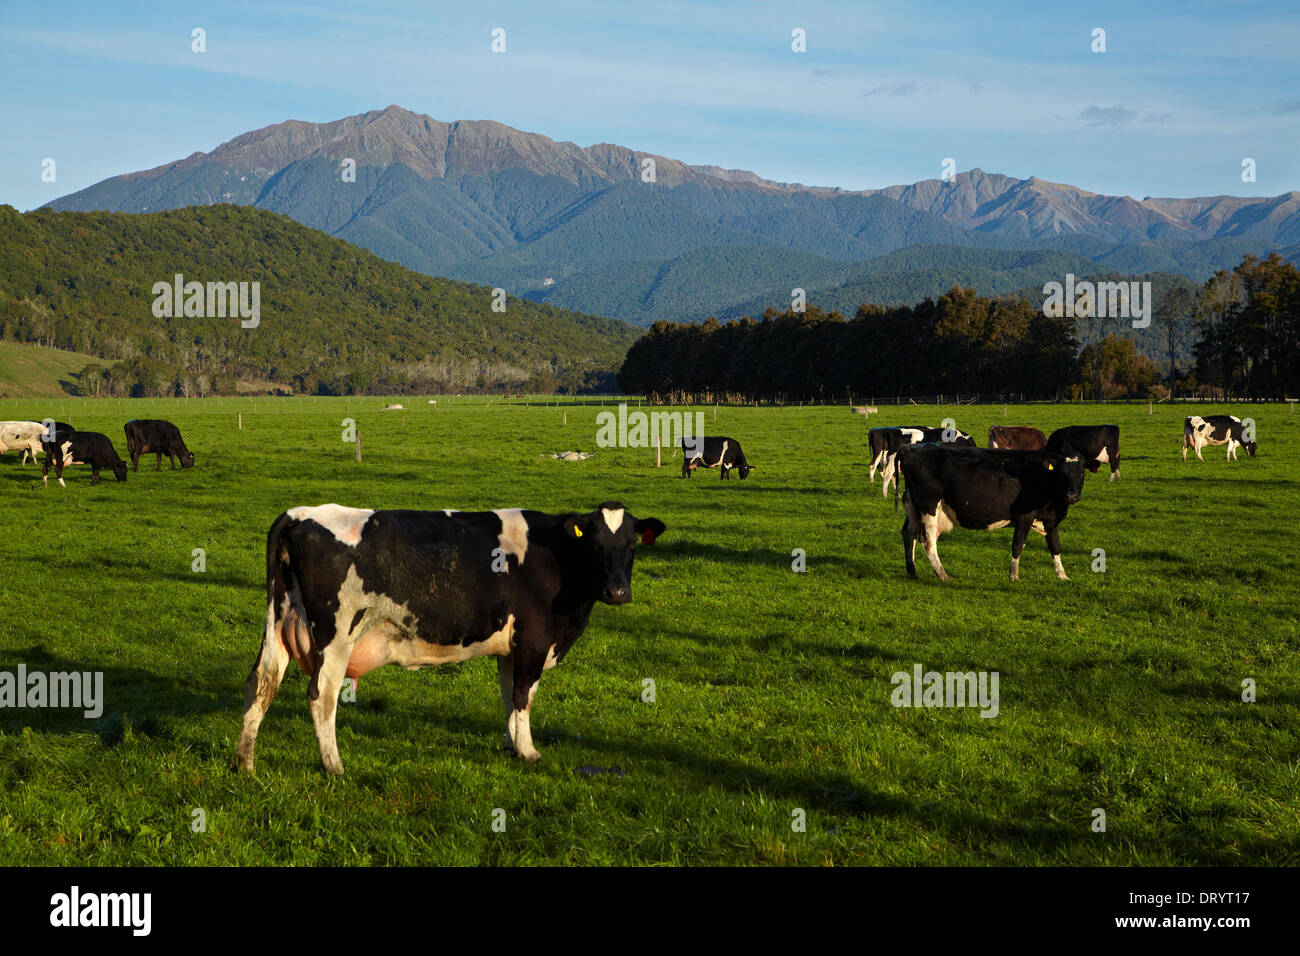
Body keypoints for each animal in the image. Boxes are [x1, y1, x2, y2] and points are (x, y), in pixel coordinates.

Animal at [235, 504, 676, 775]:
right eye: (595, 544)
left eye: (632, 545)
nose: (618, 592)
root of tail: (300, 515)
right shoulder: (534, 640)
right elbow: (523, 696)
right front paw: (528, 751)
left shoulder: (510, 648)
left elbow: (509, 696)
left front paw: (511, 744)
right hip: (336, 637)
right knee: (321, 697)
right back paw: (334, 766)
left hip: (278, 626)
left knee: (262, 683)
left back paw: (244, 762)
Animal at [894, 444, 1086, 580]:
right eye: (1062, 474)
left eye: (1082, 473)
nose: (1071, 496)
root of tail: (911, 449)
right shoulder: (1025, 515)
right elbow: (1018, 544)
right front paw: (1014, 575)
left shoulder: (1051, 520)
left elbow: (1055, 545)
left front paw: (1062, 575)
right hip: (929, 506)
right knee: (928, 541)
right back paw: (942, 575)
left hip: (913, 507)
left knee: (908, 534)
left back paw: (912, 571)